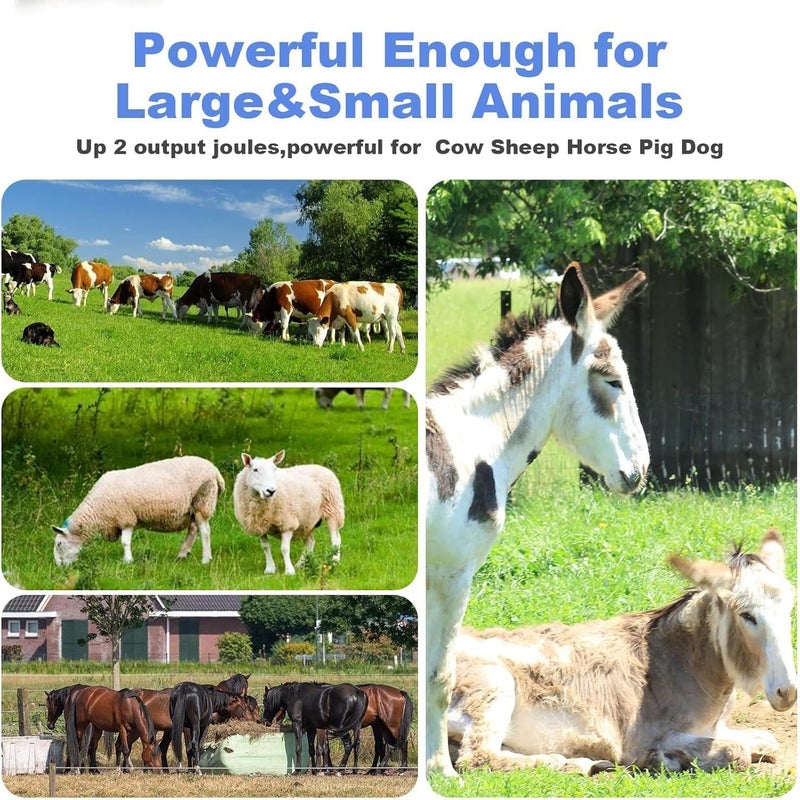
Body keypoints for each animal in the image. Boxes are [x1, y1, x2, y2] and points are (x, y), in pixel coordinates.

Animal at [425, 262, 650, 775]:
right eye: (612, 380)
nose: (640, 471)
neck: (473, 444)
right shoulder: (452, 575)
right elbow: (439, 674)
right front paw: (439, 770)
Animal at [448, 530, 797, 774]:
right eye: (747, 615)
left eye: (790, 606)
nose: (788, 692)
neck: (682, 660)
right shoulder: (646, 737)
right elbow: (737, 751)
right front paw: (663, 760)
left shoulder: (715, 728)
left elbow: (769, 741)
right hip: (494, 685)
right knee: (478, 758)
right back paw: (575, 764)